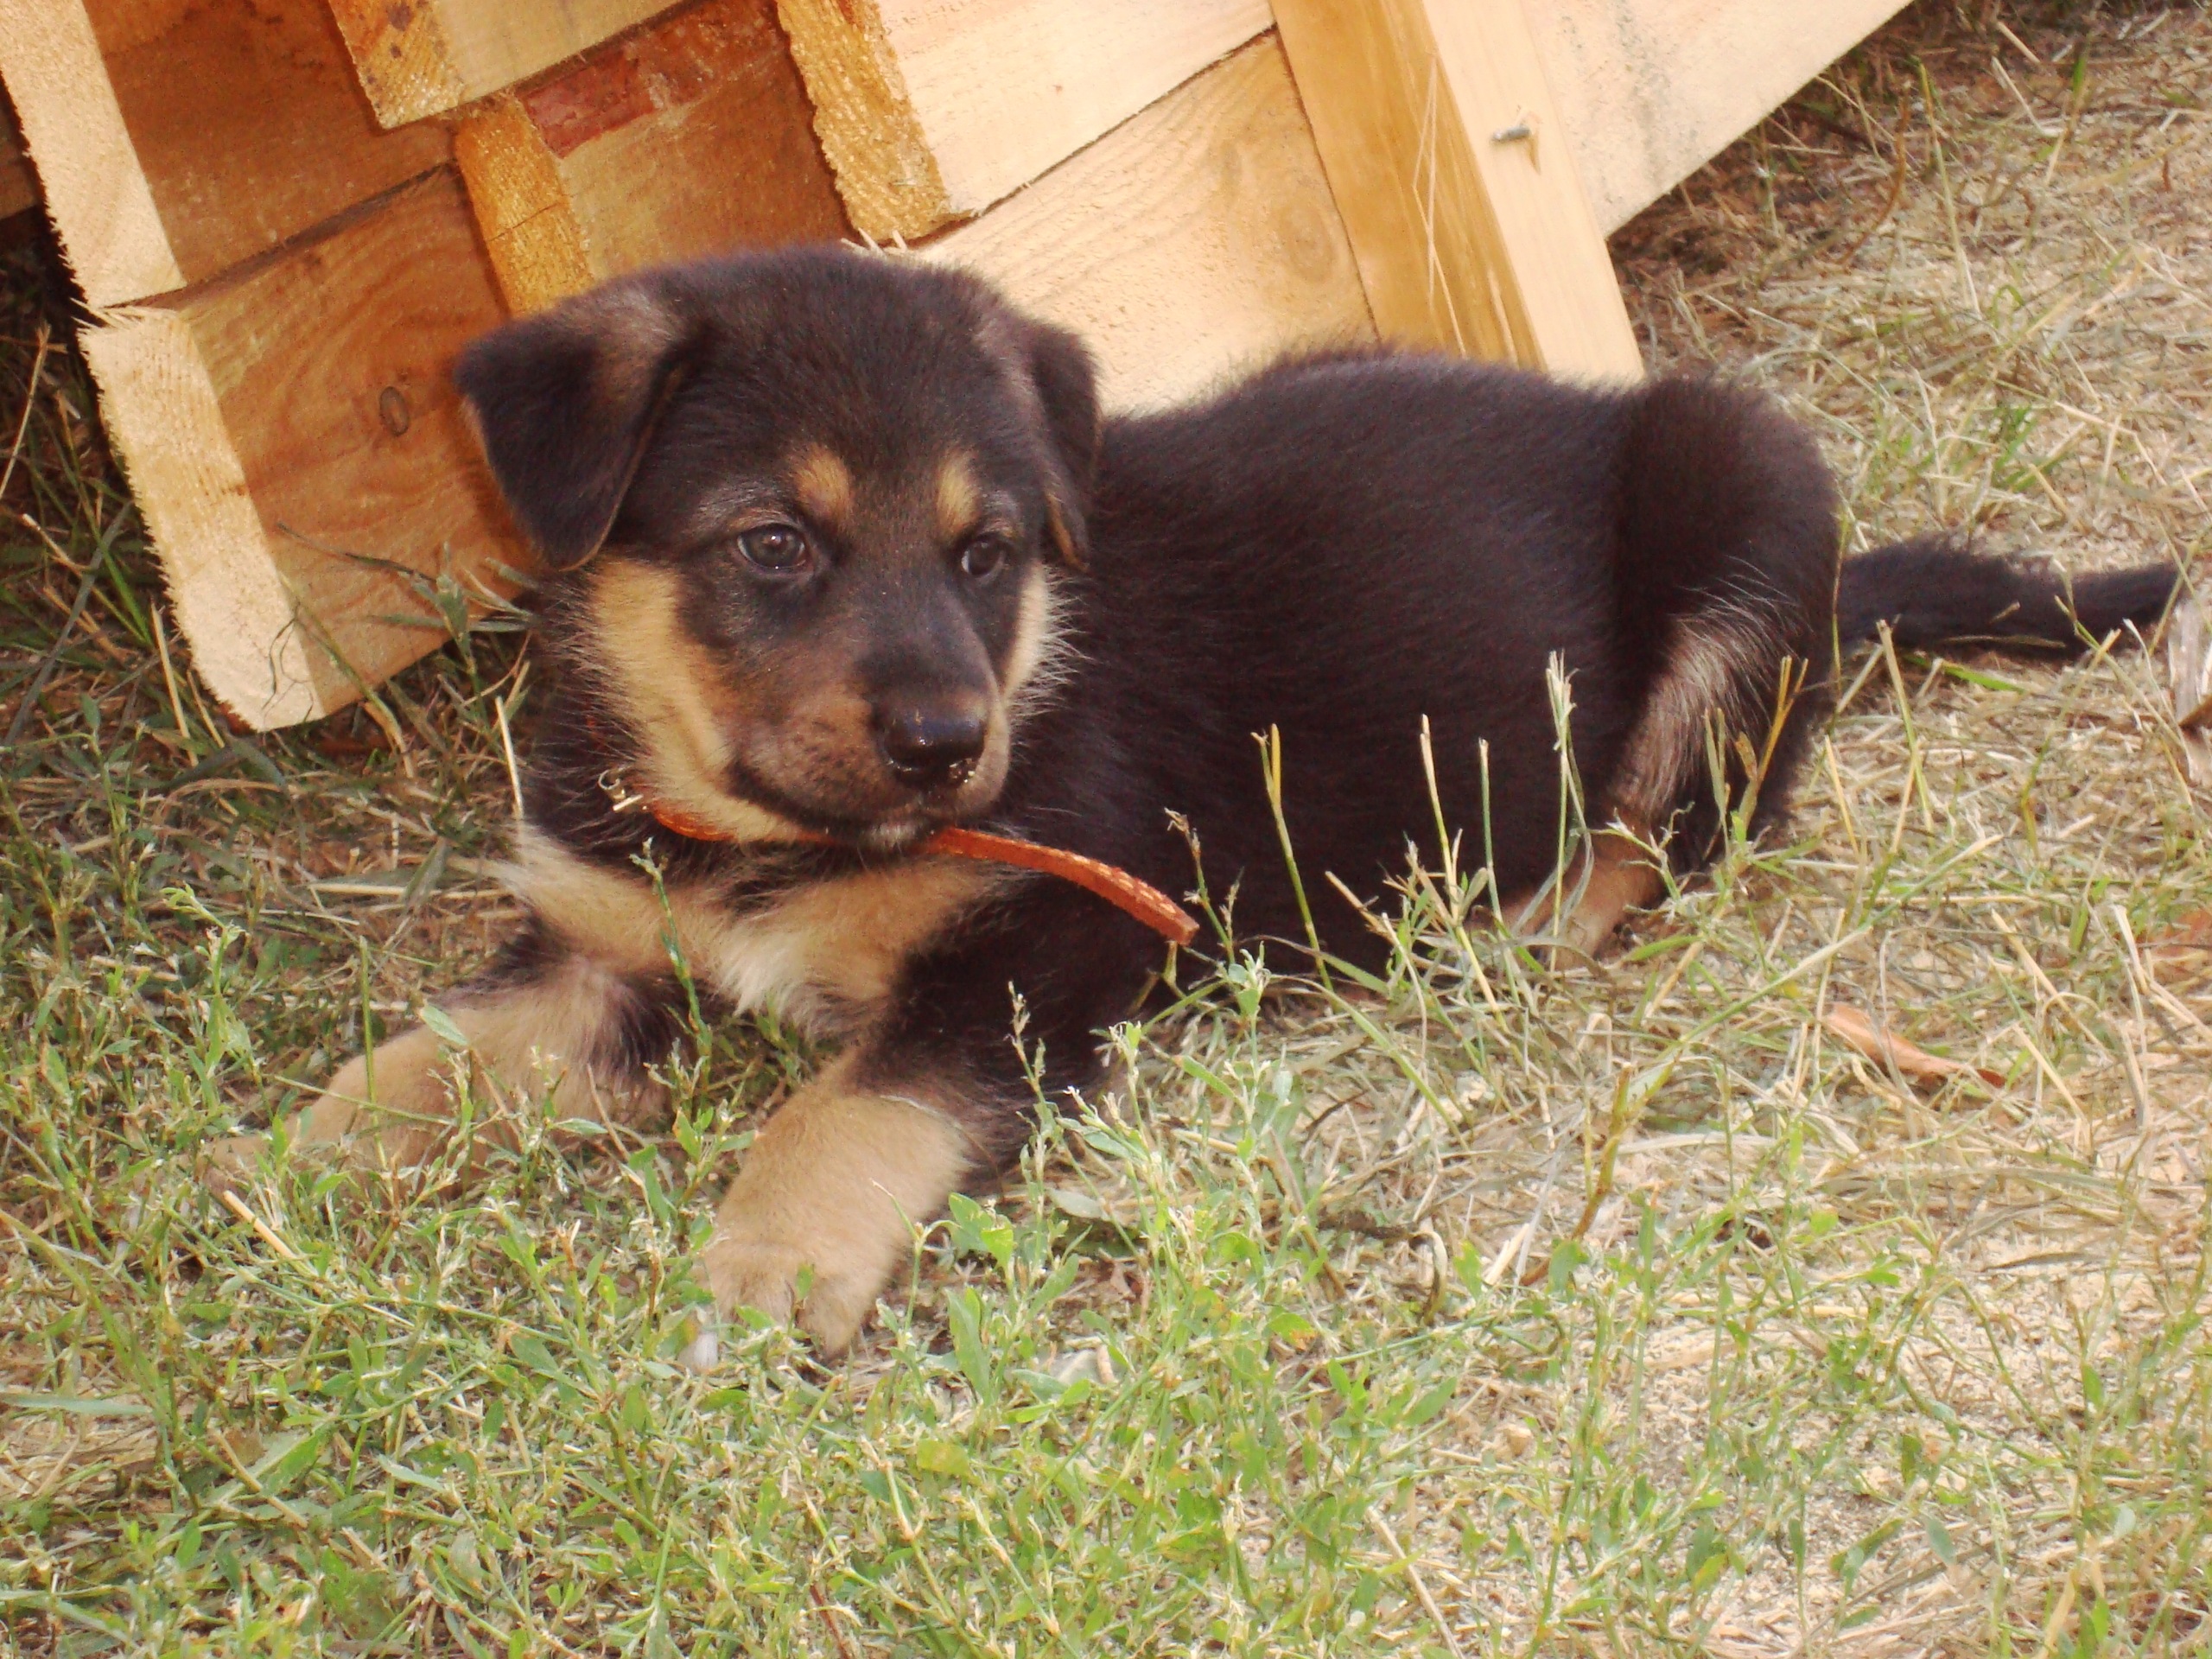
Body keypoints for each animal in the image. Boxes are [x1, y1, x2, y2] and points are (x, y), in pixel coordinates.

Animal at [208, 247, 2178, 1353]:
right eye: (771, 545)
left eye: (987, 550)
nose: (950, 744)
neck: (748, 834)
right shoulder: (590, 952)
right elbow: (418, 1062)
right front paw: (264, 1175)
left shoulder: (1048, 943)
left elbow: (849, 1105)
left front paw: (761, 1271)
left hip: (1744, 494)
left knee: (1673, 824)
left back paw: (1519, 925)